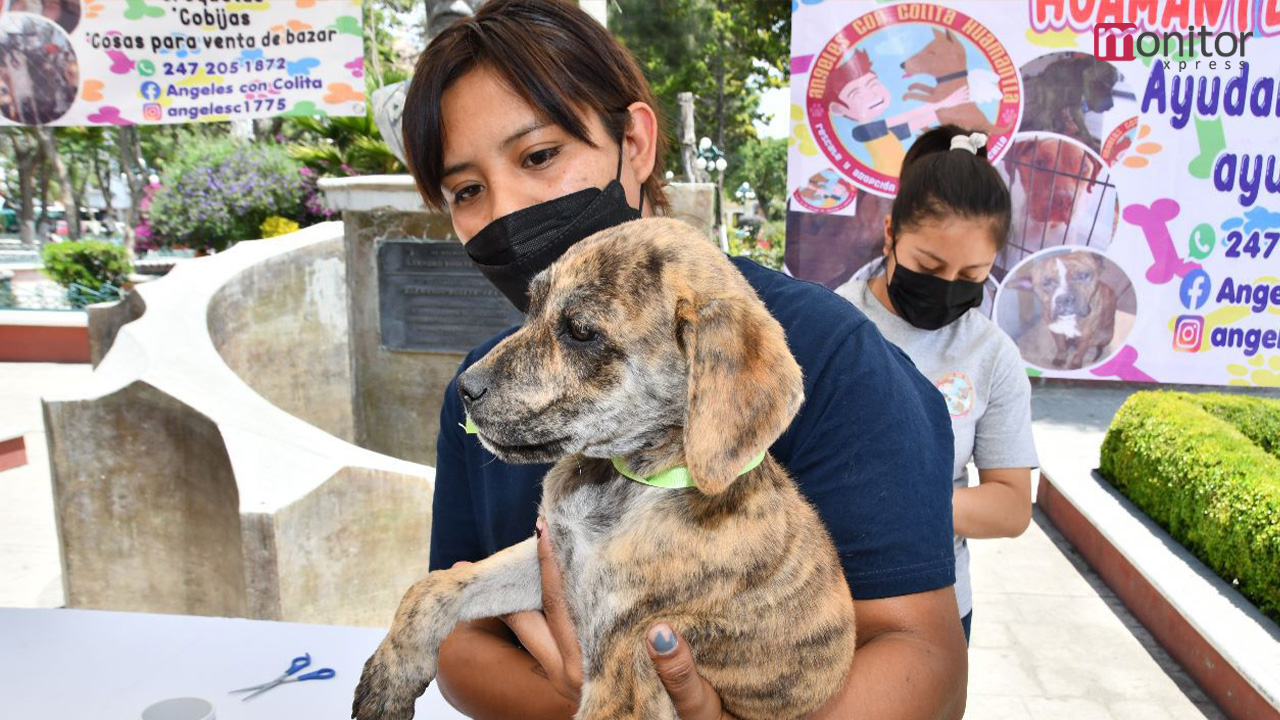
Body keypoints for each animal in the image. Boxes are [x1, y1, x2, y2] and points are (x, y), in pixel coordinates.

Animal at [350, 215, 855, 712]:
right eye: (532, 306)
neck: (625, 482)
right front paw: (387, 681)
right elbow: (436, 586)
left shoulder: (623, 656)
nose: (463, 389)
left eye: (580, 331)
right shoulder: (553, 556)